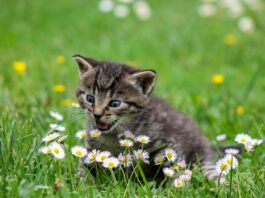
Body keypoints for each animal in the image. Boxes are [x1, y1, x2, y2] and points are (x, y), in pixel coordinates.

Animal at [72, 54, 219, 181]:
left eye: (115, 103)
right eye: (90, 98)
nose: (97, 114)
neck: (113, 135)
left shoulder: (170, 143)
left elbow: (175, 168)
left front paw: (178, 187)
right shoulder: (91, 145)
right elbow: (86, 164)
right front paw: (81, 180)